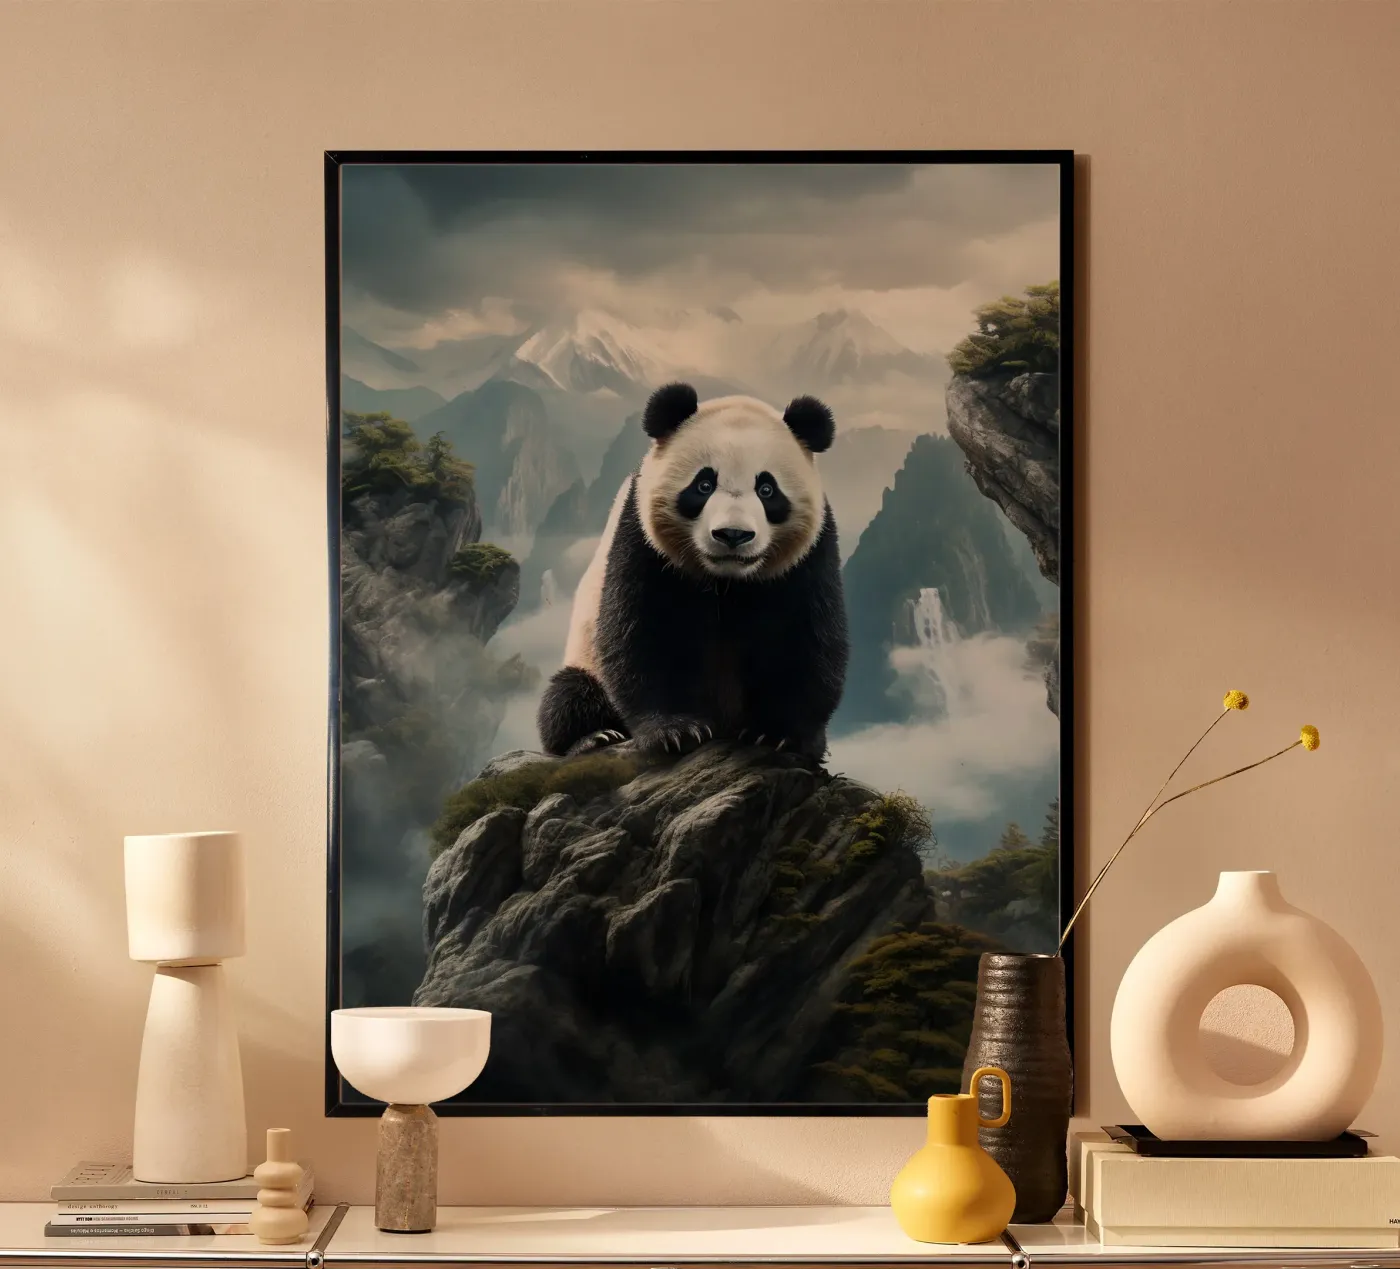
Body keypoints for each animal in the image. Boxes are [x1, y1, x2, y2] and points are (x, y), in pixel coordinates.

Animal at [536, 382, 849, 761]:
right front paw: (675, 731)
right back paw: (593, 737)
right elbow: (642, 629)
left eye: (767, 489)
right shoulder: (642, 539)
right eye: (703, 485)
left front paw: (776, 734)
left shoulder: (809, 555)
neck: (725, 581)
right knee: (568, 695)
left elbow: (806, 636)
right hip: (586, 659)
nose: (733, 534)